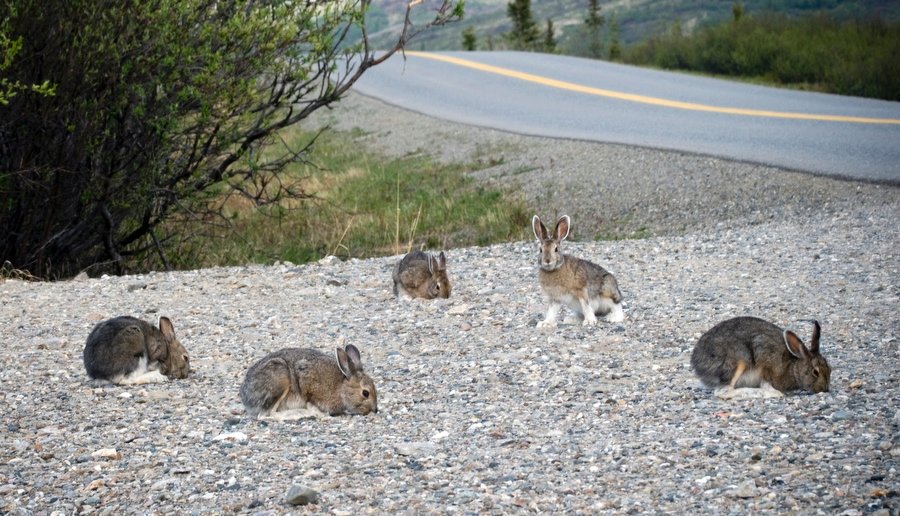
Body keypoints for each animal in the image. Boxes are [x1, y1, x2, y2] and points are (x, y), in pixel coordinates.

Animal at [239, 344, 378, 420]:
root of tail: (246, 397)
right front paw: (319, 414)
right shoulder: (308, 383)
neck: (341, 387)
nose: (375, 410)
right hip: (280, 379)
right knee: (266, 415)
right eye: (365, 393)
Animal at [691, 316, 830, 399]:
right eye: (815, 372)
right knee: (723, 392)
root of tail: (697, 362)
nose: (825, 389)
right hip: (738, 361)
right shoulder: (765, 361)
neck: (793, 366)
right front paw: (774, 393)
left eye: (830, 370)